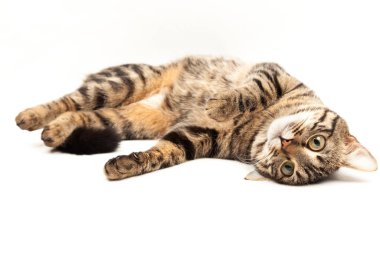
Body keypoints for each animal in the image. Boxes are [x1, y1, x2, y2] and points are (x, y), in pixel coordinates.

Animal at [15, 56, 378, 185]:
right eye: (317, 142)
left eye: (287, 169)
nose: (285, 143)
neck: (258, 128)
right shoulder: (274, 74)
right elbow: (253, 91)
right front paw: (221, 103)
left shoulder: (194, 137)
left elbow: (162, 154)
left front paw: (127, 165)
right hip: (125, 82)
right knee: (69, 100)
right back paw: (29, 116)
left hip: (125, 119)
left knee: (80, 113)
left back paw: (54, 131)